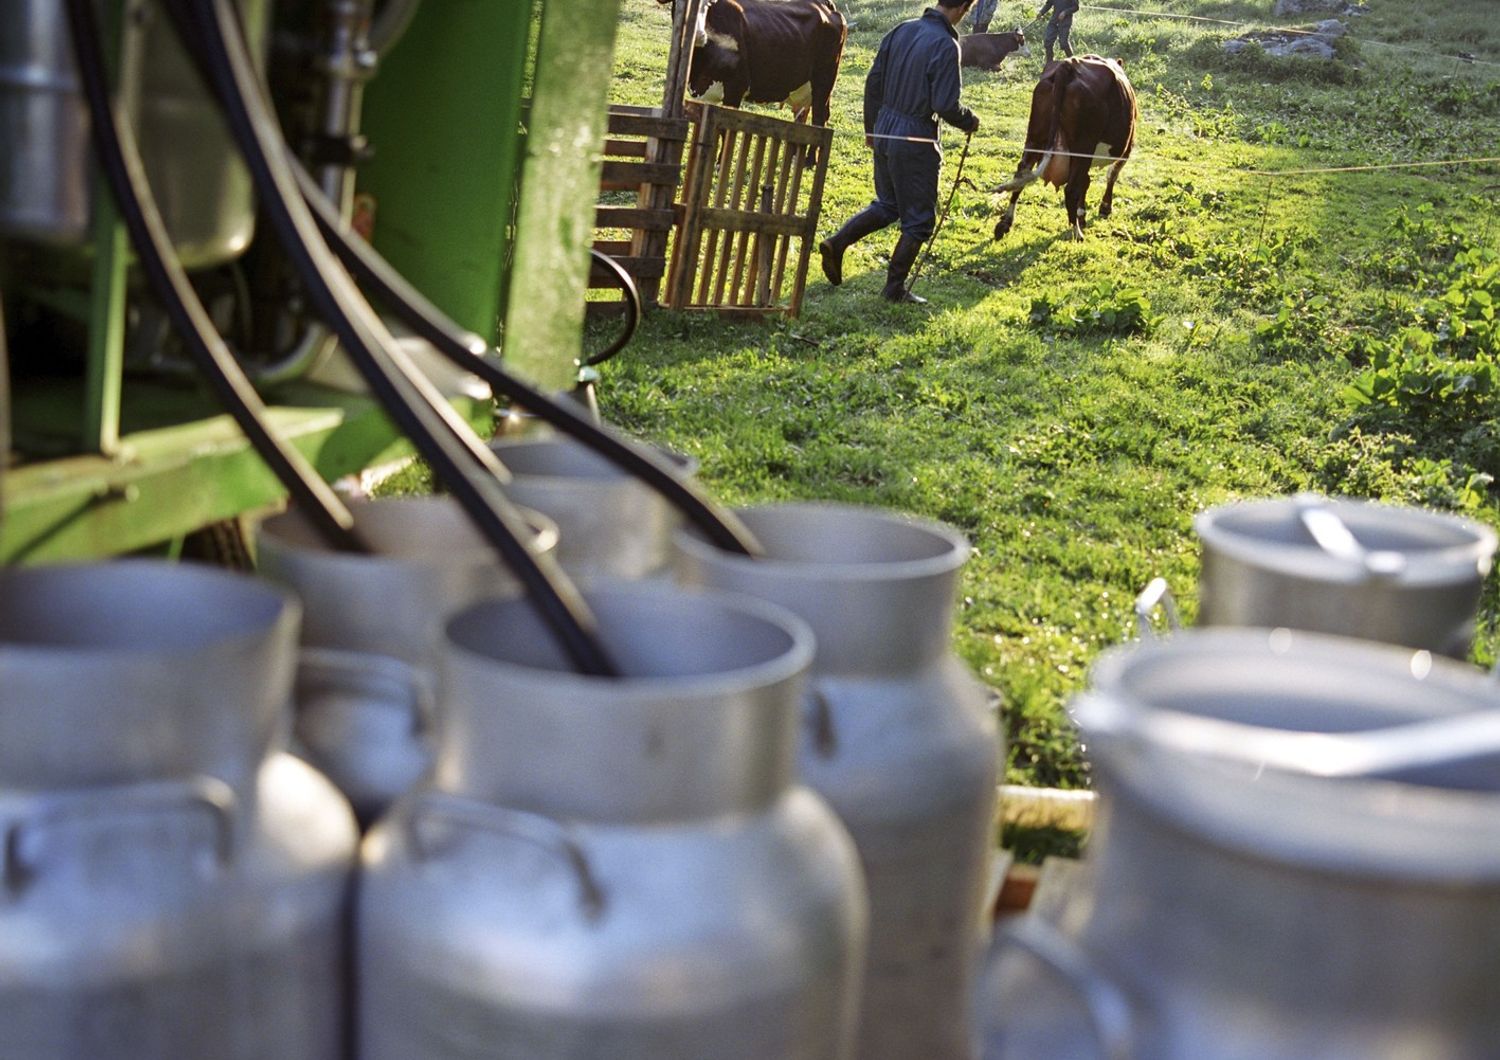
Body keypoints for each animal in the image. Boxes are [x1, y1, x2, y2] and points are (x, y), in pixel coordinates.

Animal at [687, 0, 846, 131]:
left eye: (705, 6)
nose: (699, 35)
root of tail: (823, 5)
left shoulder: (736, 88)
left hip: (823, 83)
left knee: (819, 120)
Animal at [996, 56, 1134, 242]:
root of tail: (1068, 65)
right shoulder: (1126, 149)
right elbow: (1111, 174)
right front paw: (1104, 207)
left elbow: (1086, 181)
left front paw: (1082, 215)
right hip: (1084, 145)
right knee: (1071, 189)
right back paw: (1077, 232)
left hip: (1035, 138)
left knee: (1021, 174)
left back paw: (1005, 222)